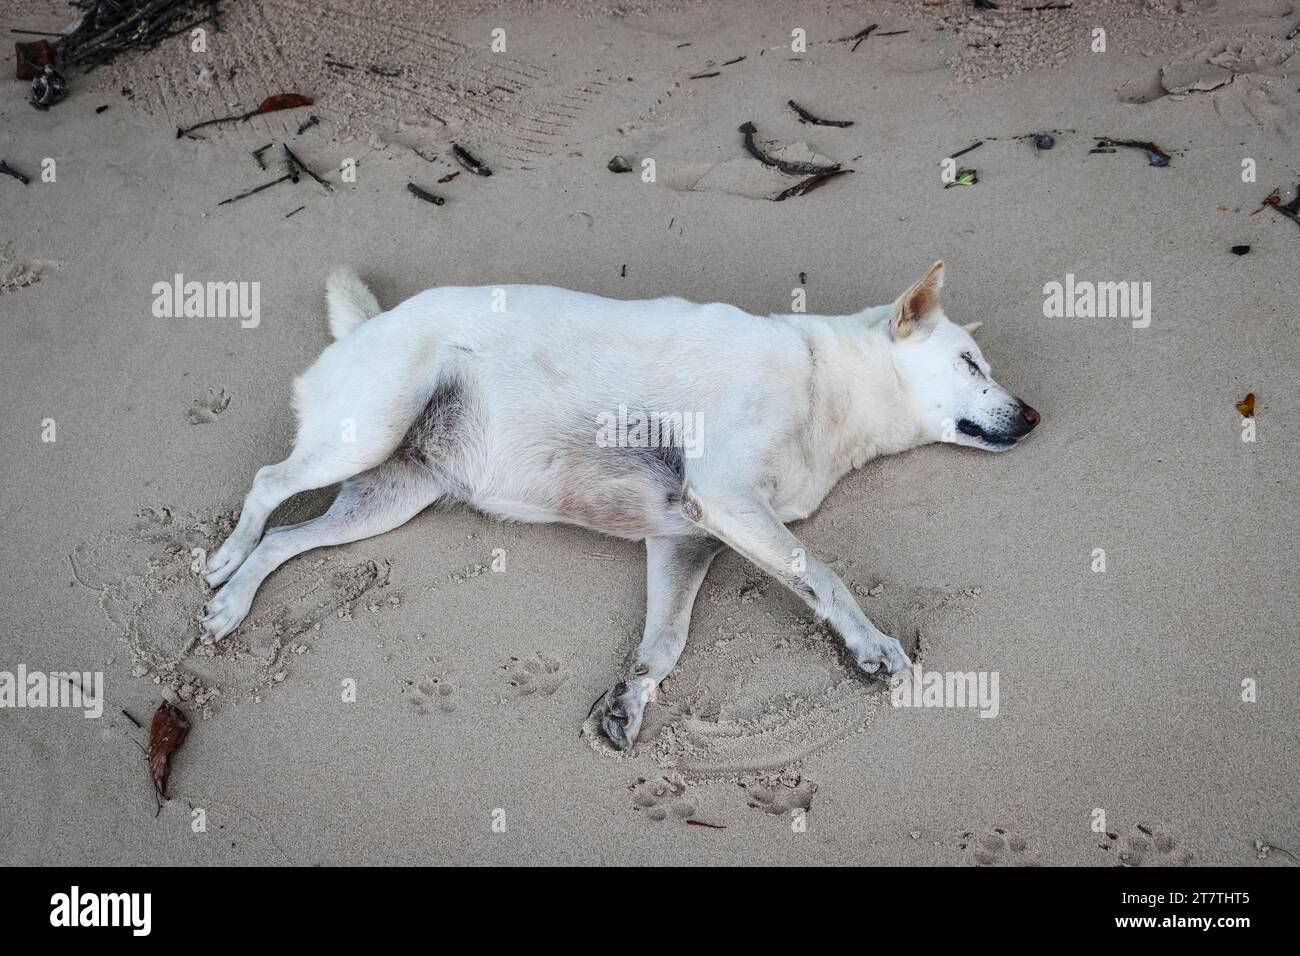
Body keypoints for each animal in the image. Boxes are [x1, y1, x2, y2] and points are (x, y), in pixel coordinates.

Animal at [200, 261, 1034, 749]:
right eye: (970, 363)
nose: (1032, 415)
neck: (826, 382)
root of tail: (365, 325)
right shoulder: (727, 496)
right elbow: (824, 577)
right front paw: (872, 649)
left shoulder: (687, 538)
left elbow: (663, 642)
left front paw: (628, 700)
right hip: (365, 434)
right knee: (268, 486)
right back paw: (224, 560)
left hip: (387, 496)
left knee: (286, 540)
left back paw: (231, 606)